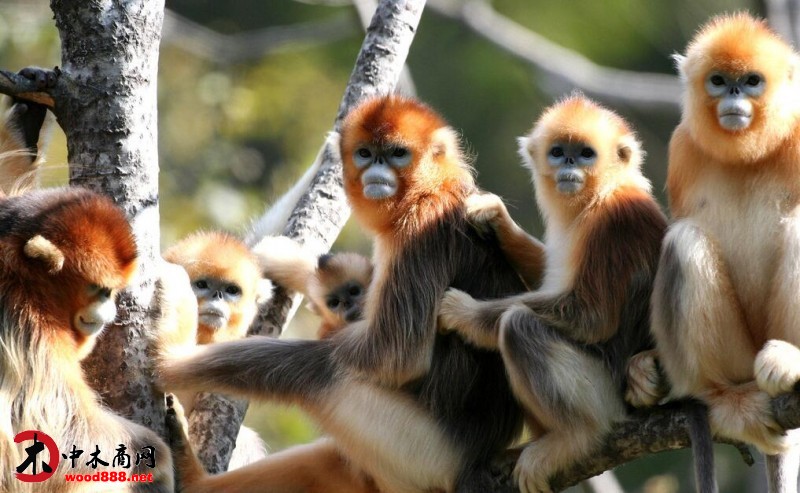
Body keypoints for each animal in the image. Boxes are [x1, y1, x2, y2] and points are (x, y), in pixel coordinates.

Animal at [0, 185, 173, 492]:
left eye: (111, 291)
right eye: (99, 289)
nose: (110, 312)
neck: (23, 280)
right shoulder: (29, 326)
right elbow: (48, 430)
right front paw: (154, 453)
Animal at [159, 96, 528, 492]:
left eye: (397, 153)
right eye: (365, 153)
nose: (377, 170)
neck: (432, 189)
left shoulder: (420, 227)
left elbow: (395, 357)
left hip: (424, 454)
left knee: (319, 371)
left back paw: (167, 365)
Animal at [434, 93, 664, 492]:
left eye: (585, 153)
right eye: (558, 152)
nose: (568, 164)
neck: (597, 196)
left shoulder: (615, 223)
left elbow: (592, 317)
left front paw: (463, 313)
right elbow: (547, 273)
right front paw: (496, 217)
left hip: (603, 395)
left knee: (517, 325)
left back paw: (572, 439)